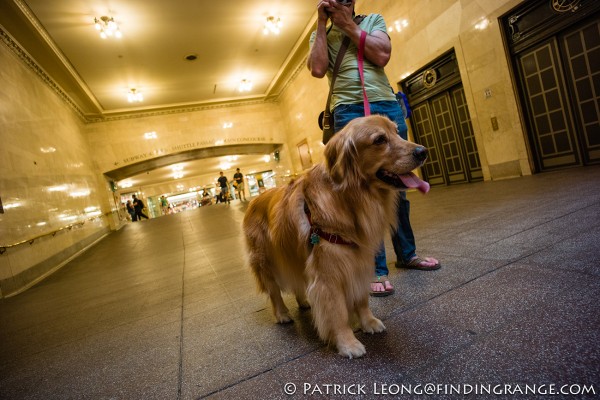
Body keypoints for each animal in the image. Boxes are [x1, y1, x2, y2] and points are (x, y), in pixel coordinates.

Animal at [241, 114, 428, 358]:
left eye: (397, 132)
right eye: (379, 140)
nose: (423, 151)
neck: (350, 199)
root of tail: (254, 199)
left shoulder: (359, 259)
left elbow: (361, 298)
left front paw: (368, 322)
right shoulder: (328, 272)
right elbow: (337, 312)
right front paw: (347, 343)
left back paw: (304, 302)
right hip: (266, 262)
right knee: (274, 291)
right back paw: (282, 314)